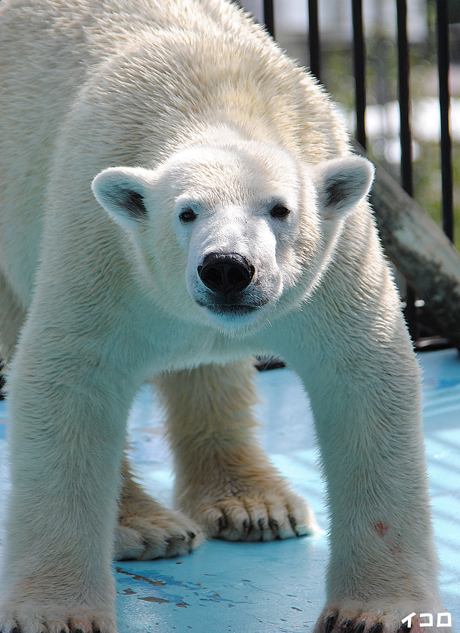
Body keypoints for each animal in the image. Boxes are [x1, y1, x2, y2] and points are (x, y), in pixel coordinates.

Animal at [0, 1, 444, 632]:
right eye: (187, 212)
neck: (213, 97)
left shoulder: (337, 259)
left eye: (280, 209)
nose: (228, 269)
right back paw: (145, 527)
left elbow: (364, 379)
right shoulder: (104, 250)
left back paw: (255, 505)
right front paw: (57, 613)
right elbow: (68, 381)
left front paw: (377, 612)